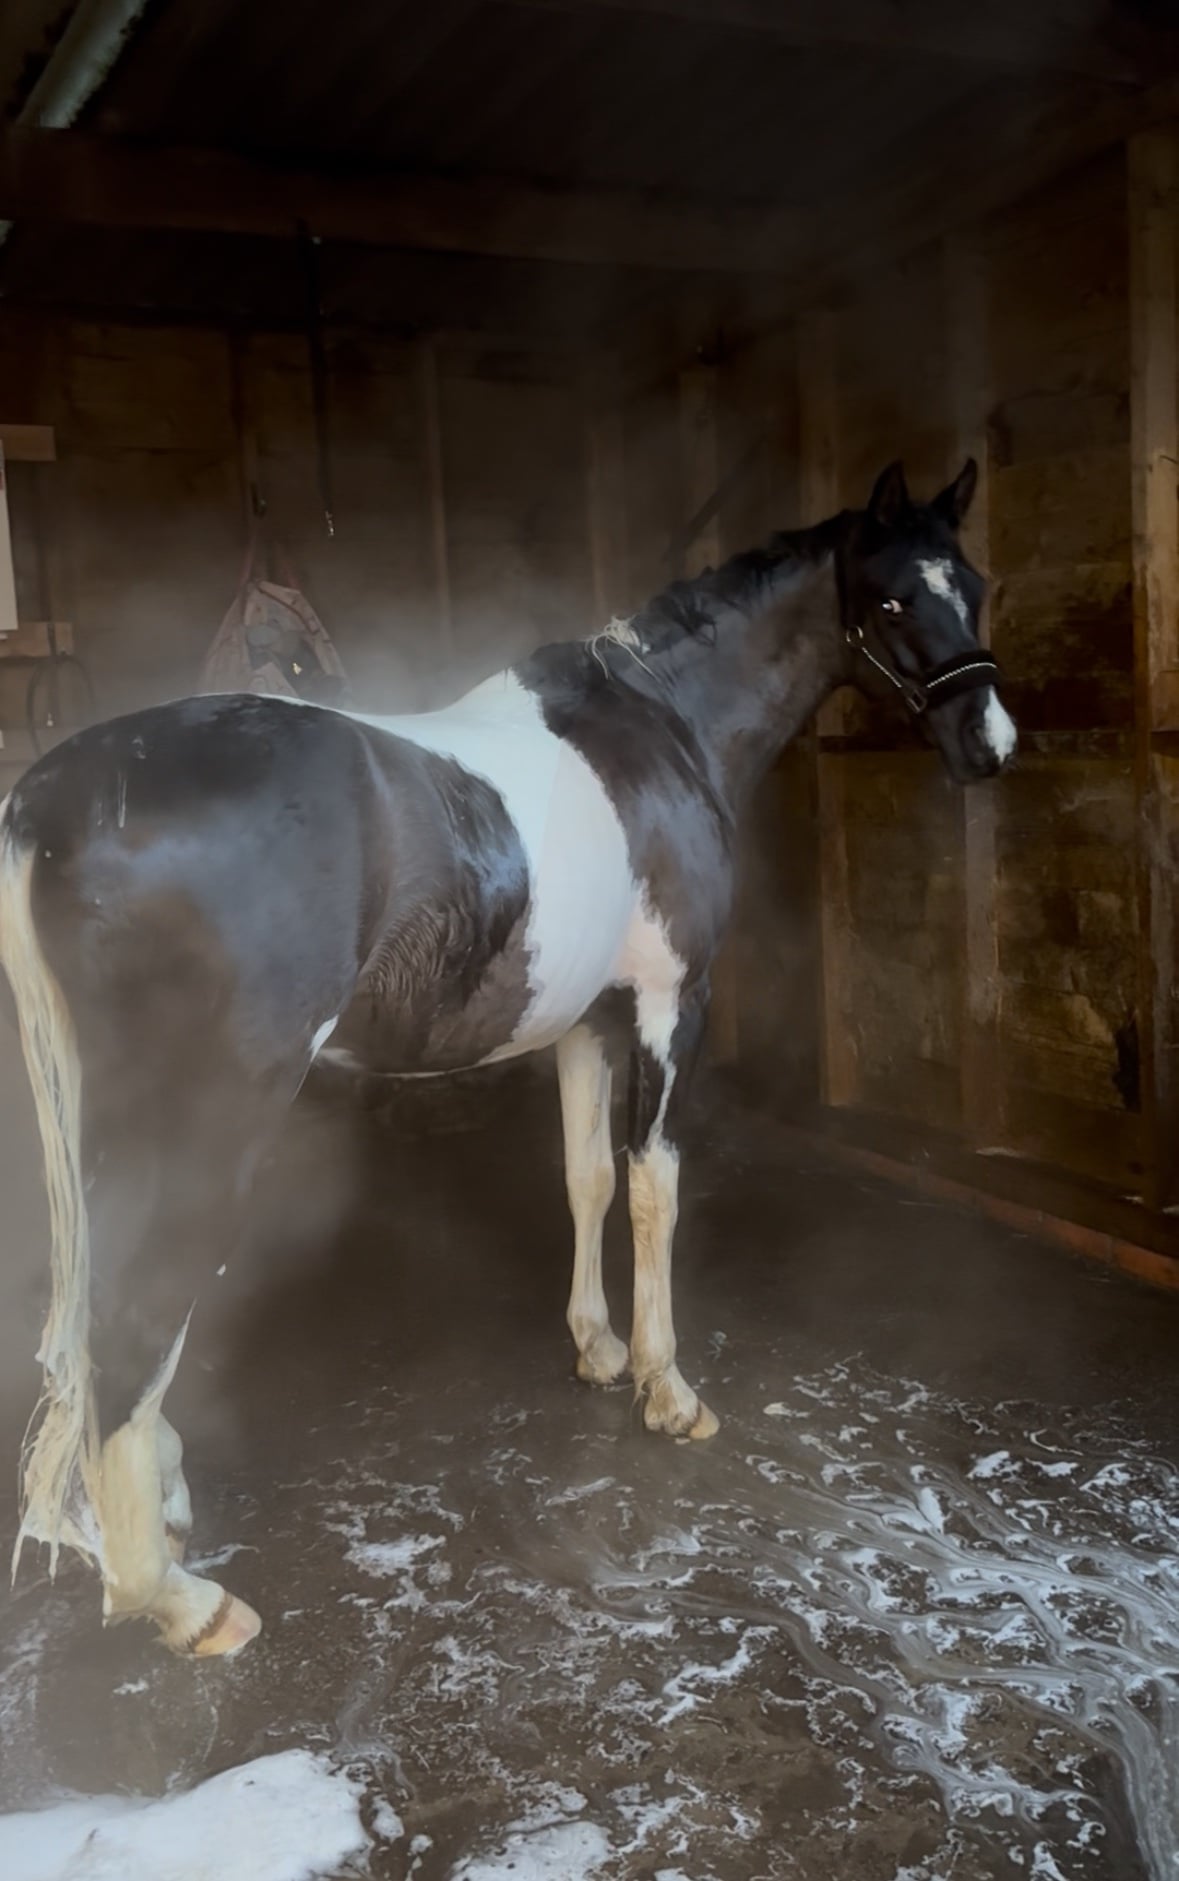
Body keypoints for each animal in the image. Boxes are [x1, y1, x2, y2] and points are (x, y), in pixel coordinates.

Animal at [0, 458, 1015, 1660]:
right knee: (135, 1312)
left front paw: (598, 1348)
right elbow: (654, 1183)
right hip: (211, 1111)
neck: (660, 727)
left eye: (975, 584)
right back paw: (173, 1596)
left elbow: (584, 1178)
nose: (991, 743)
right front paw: (668, 1388)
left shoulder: (583, 1022)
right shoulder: (669, 1006)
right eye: (895, 598)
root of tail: (51, 801)